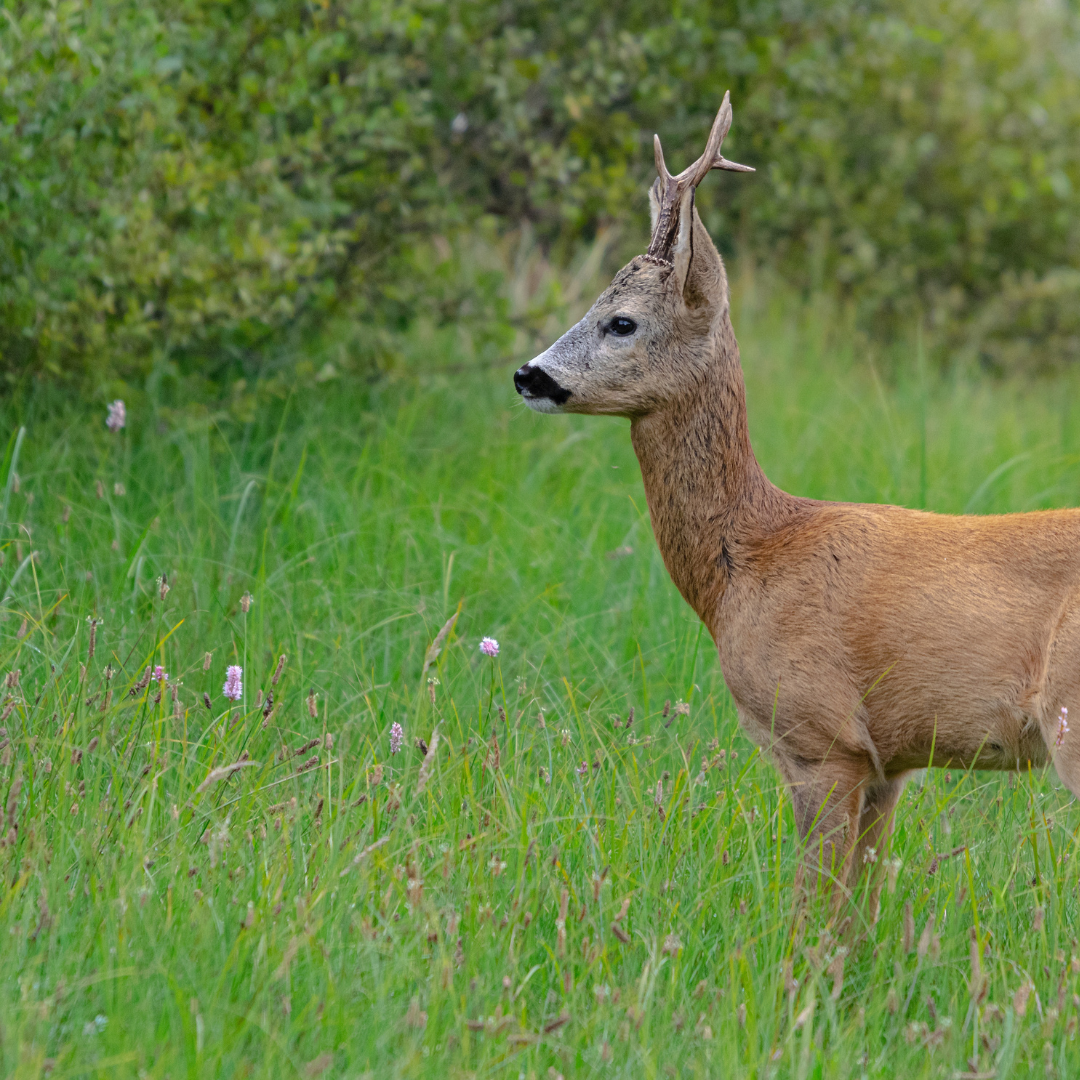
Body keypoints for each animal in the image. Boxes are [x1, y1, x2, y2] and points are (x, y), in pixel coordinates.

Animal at [511, 92, 1080, 898]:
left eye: (621, 321)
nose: (528, 375)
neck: (750, 558)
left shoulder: (820, 737)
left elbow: (811, 910)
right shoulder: (886, 764)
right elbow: (858, 913)